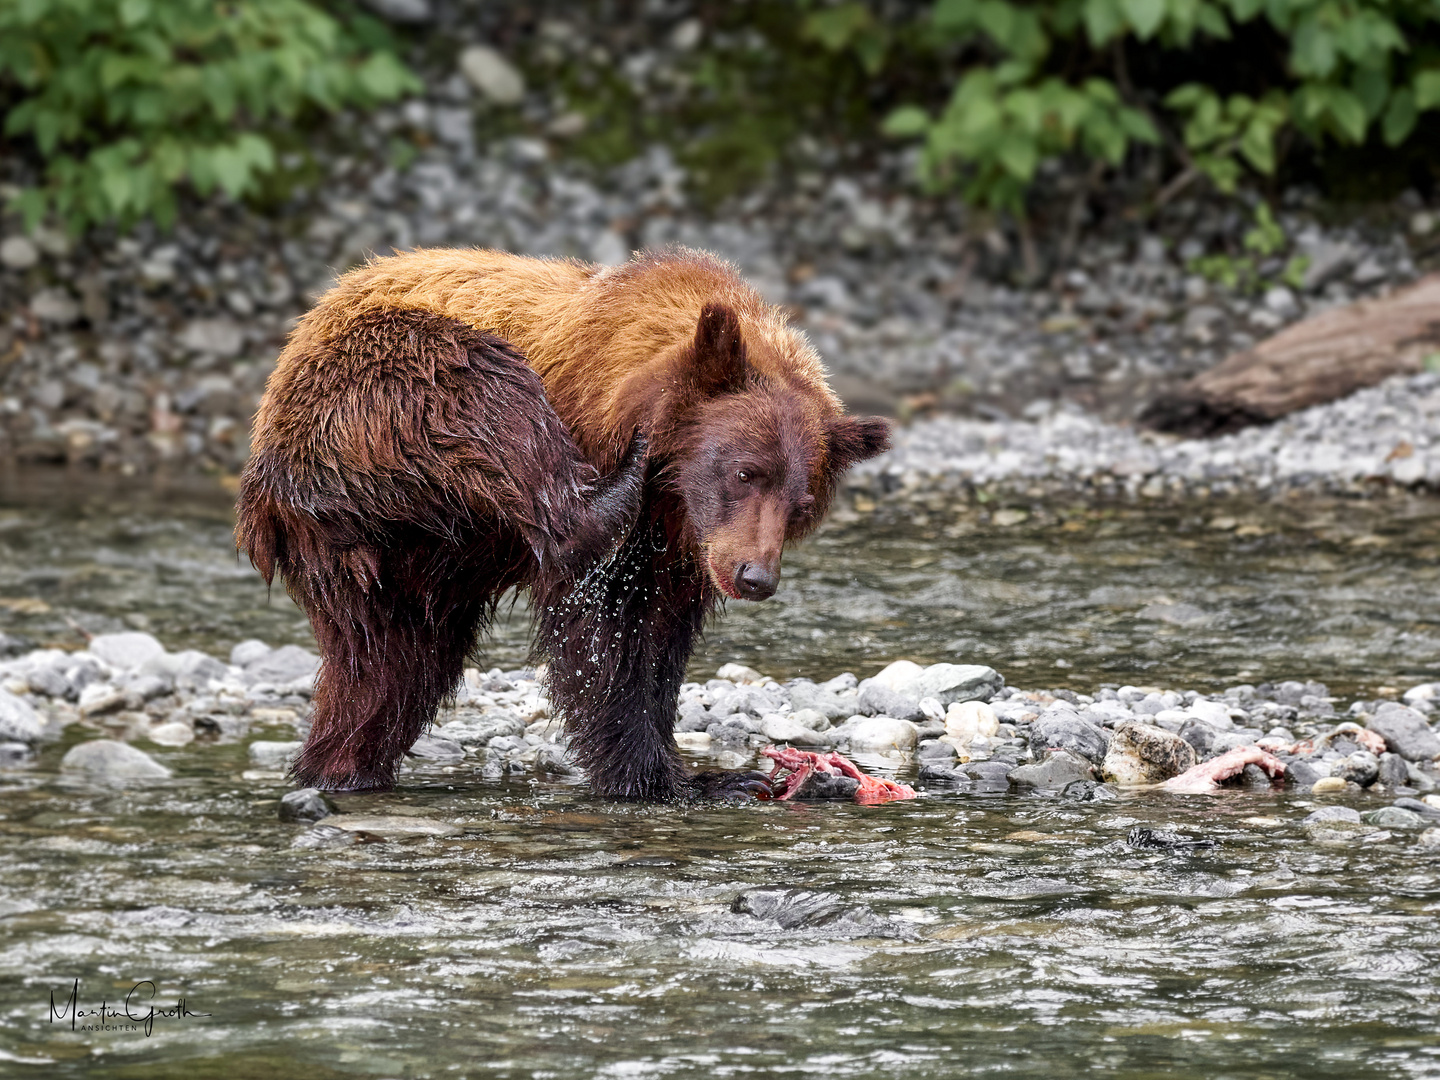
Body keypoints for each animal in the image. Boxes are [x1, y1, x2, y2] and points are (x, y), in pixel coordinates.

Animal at [236, 247, 887, 806]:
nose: (755, 576)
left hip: (396, 558)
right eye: (746, 472)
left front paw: (701, 773)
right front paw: (666, 778)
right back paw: (607, 494)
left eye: (802, 502)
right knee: (490, 400)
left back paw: (342, 767)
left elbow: (657, 639)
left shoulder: (679, 556)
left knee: (390, 665)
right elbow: (605, 634)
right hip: (376, 392)